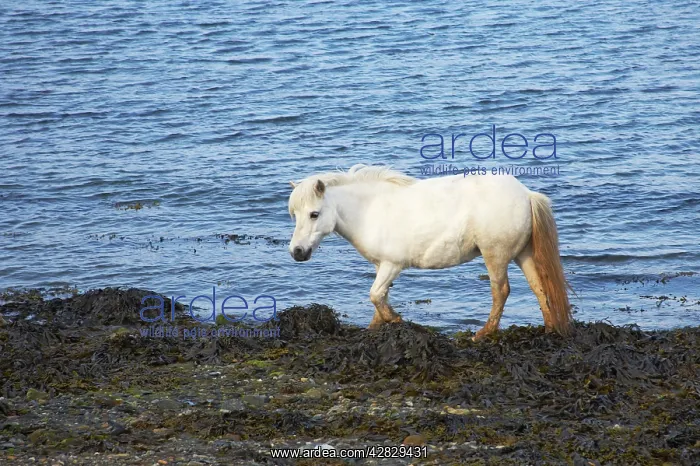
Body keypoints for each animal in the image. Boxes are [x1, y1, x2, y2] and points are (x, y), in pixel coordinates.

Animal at [287, 164, 572, 340]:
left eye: (314, 214)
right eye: (295, 215)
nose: (297, 252)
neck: (371, 210)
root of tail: (526, 194)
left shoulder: (392, 265)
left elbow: (375, 296)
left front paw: (396, 321)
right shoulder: (382, 267)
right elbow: (380, 298)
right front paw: (375, 328)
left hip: (496, 255)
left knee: (501, 291)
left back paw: (483, 334)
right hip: (522, 254)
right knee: (539, 286)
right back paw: (549, 328)